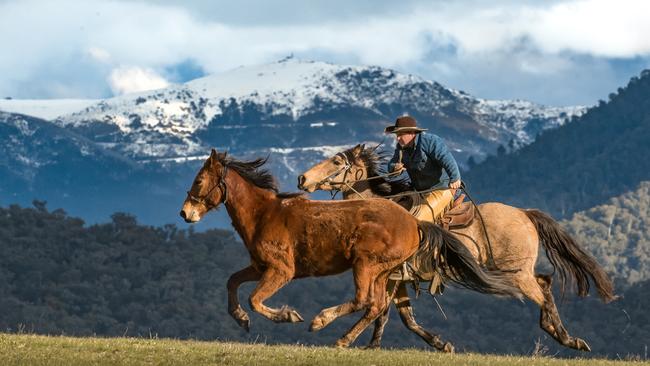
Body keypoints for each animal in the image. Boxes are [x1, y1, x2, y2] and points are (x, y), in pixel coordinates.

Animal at [178, 149, 520, 348]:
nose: (184, 213)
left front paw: (288, 315)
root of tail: (414, 223)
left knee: (364, 300)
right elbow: (233, 282)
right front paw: (240, 318)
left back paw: (322, 323)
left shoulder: (280, 271)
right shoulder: (259, 267)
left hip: (366, 265)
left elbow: (255, 299)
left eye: (199, 181)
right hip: (382, 272)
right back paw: (346, 339)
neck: (265, 213)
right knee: (375, 305)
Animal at [296, 144, 616, 352]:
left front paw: (337, 333)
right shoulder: (397, 277)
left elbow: (378, 309)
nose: (302, 178)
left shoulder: (390, 275)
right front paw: (434, 343)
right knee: (545, 284)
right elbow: (401, 316)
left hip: (516, 274)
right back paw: (559, 333)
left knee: (541, 293)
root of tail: (525, 213)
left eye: (337, 162)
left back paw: (565, 337)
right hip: (516, 271)